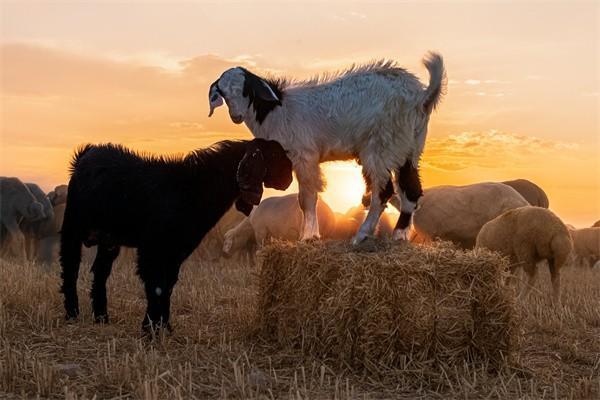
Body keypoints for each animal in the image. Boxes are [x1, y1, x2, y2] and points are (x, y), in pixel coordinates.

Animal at [61, 139, 292, 332]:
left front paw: (164, 326)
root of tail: (87, 153)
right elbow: (156, 286)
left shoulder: (178, 248)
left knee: (100, 271)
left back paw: (101, 317)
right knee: (70, 264)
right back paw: (72, 313)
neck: (191, 189)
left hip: (109, 239)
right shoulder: (152, 247)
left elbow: (169, 285)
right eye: (273, 155)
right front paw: (151, 329)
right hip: (73, 224)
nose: (289, 179)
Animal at [207, 50, 446, 244]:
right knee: (411, 189)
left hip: (380, 147)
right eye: (223, 93)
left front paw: (308, 236)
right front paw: (311, 235)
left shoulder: (304, 156)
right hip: (410, 147)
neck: (276, 110)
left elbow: (307, 199)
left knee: (384, 191)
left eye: (246, 89)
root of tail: (421, 96)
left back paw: (362, 235)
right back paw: (399, 235)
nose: (236, 116)